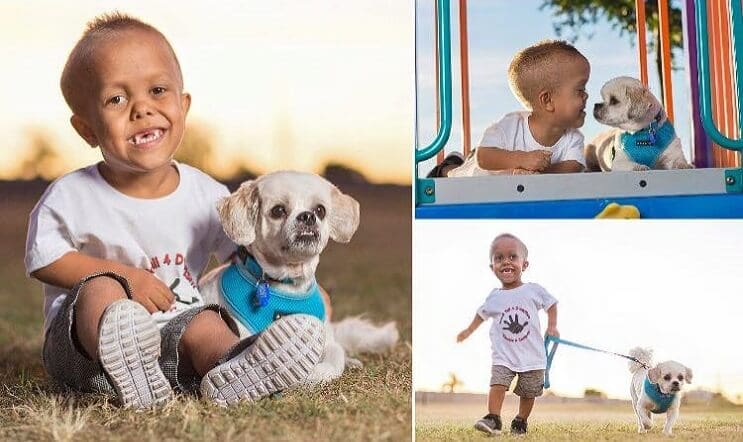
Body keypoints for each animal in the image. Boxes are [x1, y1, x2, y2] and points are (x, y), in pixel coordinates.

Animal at [201, 171, 398, 386]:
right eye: (278, 210)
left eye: (320, 210)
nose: (308, 216)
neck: (288, 284)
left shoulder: (327, 339)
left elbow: (335, 357)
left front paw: (318, 372)